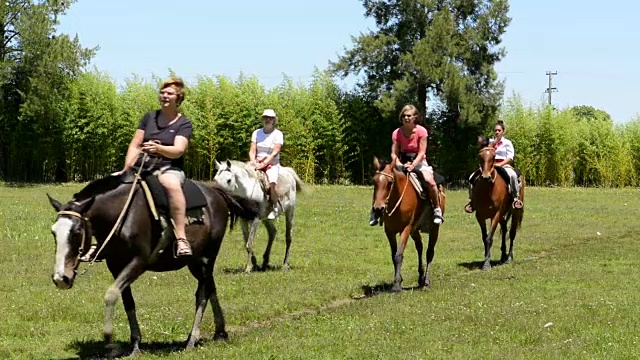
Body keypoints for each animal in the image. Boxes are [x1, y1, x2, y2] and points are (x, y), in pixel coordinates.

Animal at [45, 175, 260, 358]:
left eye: (77, 231)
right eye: (54, 232)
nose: (61, 278)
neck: (122, 214)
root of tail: (215, 192)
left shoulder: (138, 262)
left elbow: (111, 294)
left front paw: (109, 338)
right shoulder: (115, 265)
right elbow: (127, 302)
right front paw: (135, 345)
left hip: (208, 257)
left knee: (202, 295)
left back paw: (192, 340)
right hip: (195, 262)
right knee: (211, 288)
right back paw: (220, 332)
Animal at [370, 158, 444, 292]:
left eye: (390, 183)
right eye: (374, 182)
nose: (378, 209)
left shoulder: (405, 229)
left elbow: (399, 255)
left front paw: (396, 285)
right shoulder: (389, 231)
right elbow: (393, 255)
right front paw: (399, 280)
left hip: (434, 229)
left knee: (429, 252)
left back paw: (426, 281)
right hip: (414, 230)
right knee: (420, 247)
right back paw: (420, 277)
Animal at [470, 141, 524, 270]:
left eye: (494, 157)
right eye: (480, 156)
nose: (486, 177)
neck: (487, 191)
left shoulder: (495, 215)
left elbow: (489, 238)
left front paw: (486, 264)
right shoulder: (480, 215)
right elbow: (484, 237)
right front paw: (486, 257)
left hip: (514, 212)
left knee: (512, 233)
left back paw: (509, 257)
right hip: (502, 214)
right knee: (504, 228)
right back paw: (503, 256)